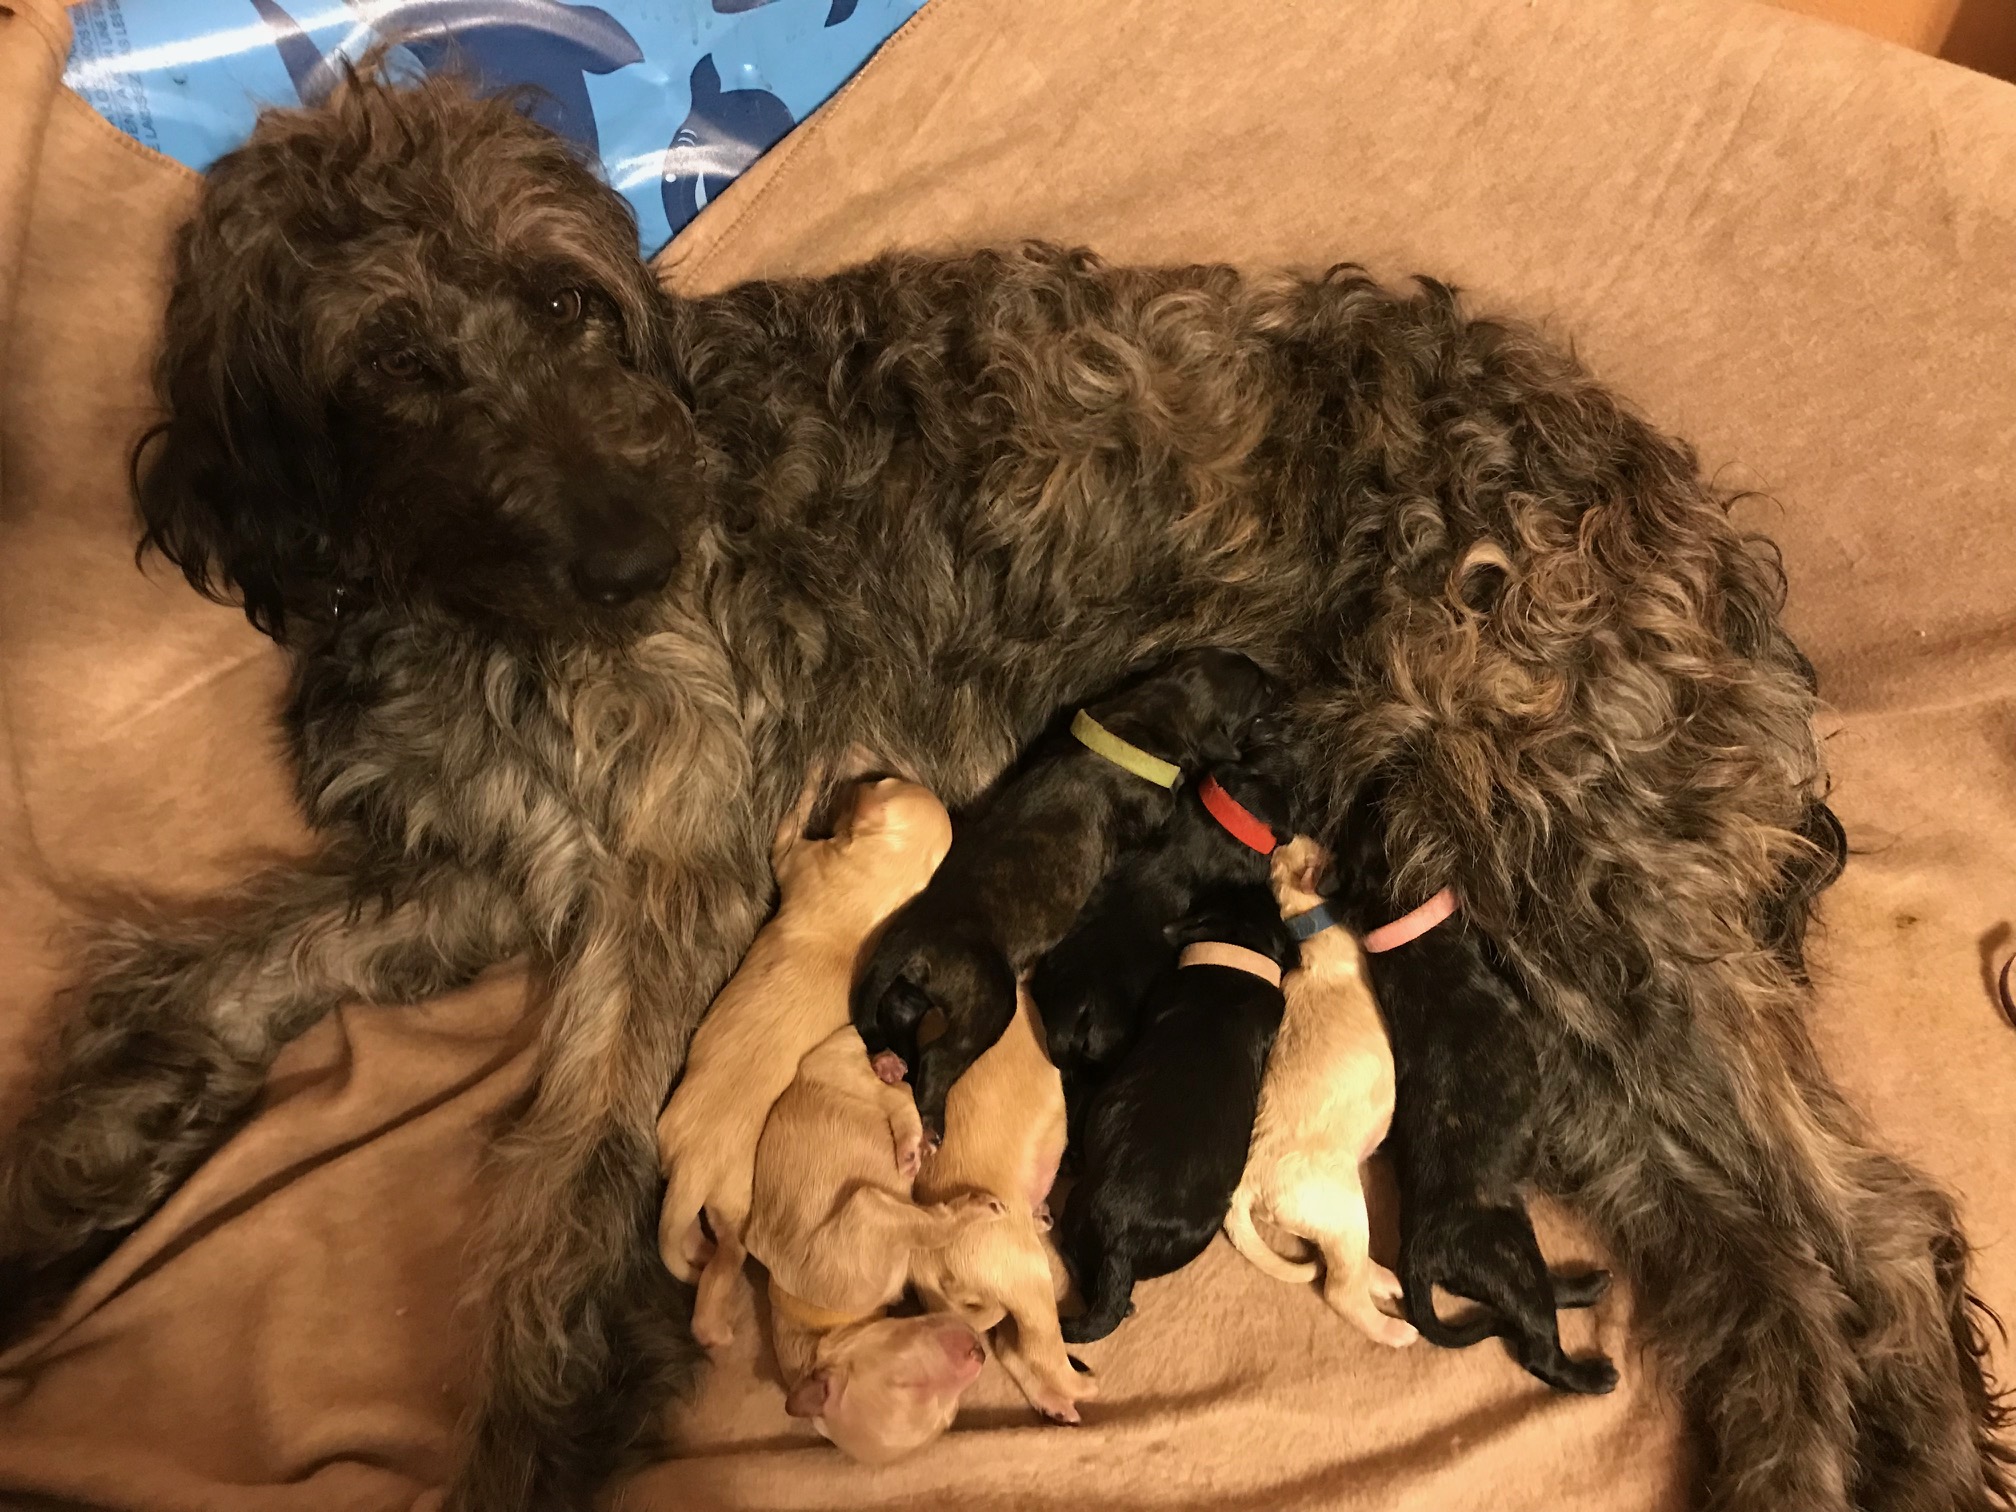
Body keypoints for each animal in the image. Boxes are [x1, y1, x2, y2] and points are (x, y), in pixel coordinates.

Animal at [656, 777, 952, 1348]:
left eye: (878, 784)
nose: (855, 779)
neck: (877, 885)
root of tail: (695, 1162)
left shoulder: (797, 859)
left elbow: (786, 834)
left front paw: (809, 783)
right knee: (709, 1250)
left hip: (732, 1196)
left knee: (722, 1257)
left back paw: (713, 1323)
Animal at [853, 649, 1275, 1133]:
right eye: (1258, 687)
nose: (1277, 682)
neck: (1148, 716)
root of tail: (908, 938)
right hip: (988, 997)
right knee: (939, 1057)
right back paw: (931, 1126)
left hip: (912, 991)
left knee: (899, 1017)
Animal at [909, 984, 1094, 1424]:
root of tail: (926, 1265)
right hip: (1027, 1273)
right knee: (1042, 1355)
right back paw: (1084, 1387)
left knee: (1014, 1350)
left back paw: (1057, 1408)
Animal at [1220, 836, 1416, 1349]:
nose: (1286, 837)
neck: (1306, 925)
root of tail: (1247, 1181)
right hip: (1343, 1209)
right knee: (1341, 1290)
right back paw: (1393, 1329)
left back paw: (1383, 1280)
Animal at [1326, 785, 1617, 1394]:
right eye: (1374, 819)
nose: (1375, 788)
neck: (1396, 925)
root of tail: (1418, 1253)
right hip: (1508, 1251)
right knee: (1537, 1345)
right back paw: (1591, 1373)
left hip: (1512, 1253)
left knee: (1534, 1298)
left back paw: (1589, 1285)